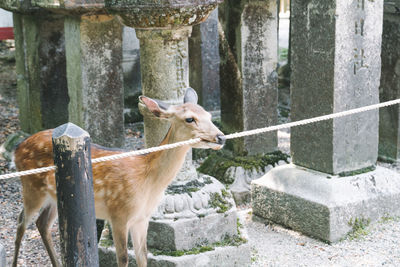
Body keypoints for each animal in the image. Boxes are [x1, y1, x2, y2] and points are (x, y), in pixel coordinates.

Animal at [12, 88, 225, 267]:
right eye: (190, 119)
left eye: (209, 115)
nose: (221, 137)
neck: (148, 181)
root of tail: (17, 149)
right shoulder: (118, 214)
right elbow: (123, 258)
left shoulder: (142, 218)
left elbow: (142, 256)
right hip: (31, 187)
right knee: (21, 223)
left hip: (54, 197)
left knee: (42, 223)